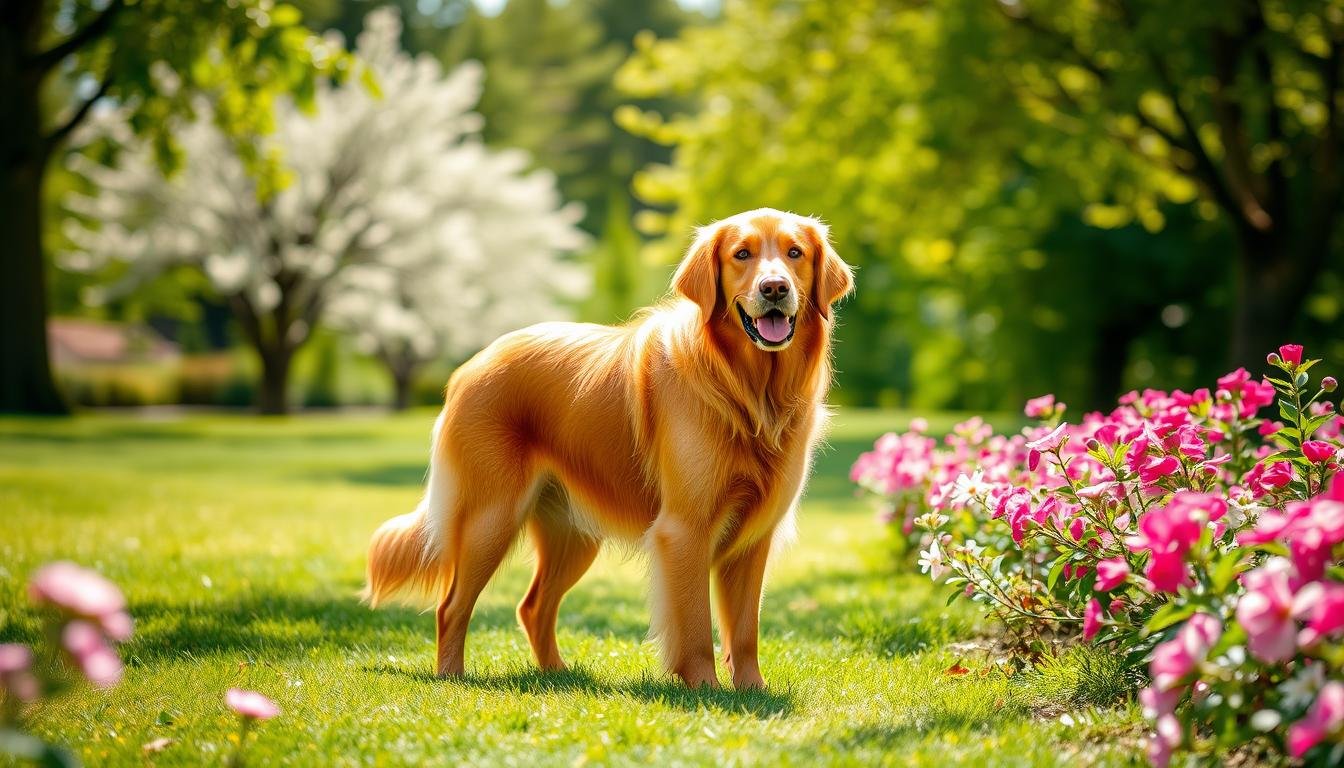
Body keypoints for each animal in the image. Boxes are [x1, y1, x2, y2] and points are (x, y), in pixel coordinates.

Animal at [362, 207, 854, 688]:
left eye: (794, 252)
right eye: (742, 254)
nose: (775, 288)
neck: (746, 391)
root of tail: (471, 365)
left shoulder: (754, 539)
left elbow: (745, 631)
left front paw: (752, 692)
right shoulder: (684, 531)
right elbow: (695, 629)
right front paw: (708, 692)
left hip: (572, 537)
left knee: (532, 607)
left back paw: (558, 677)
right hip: (489, 519)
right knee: (451, 606)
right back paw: (453, 678)